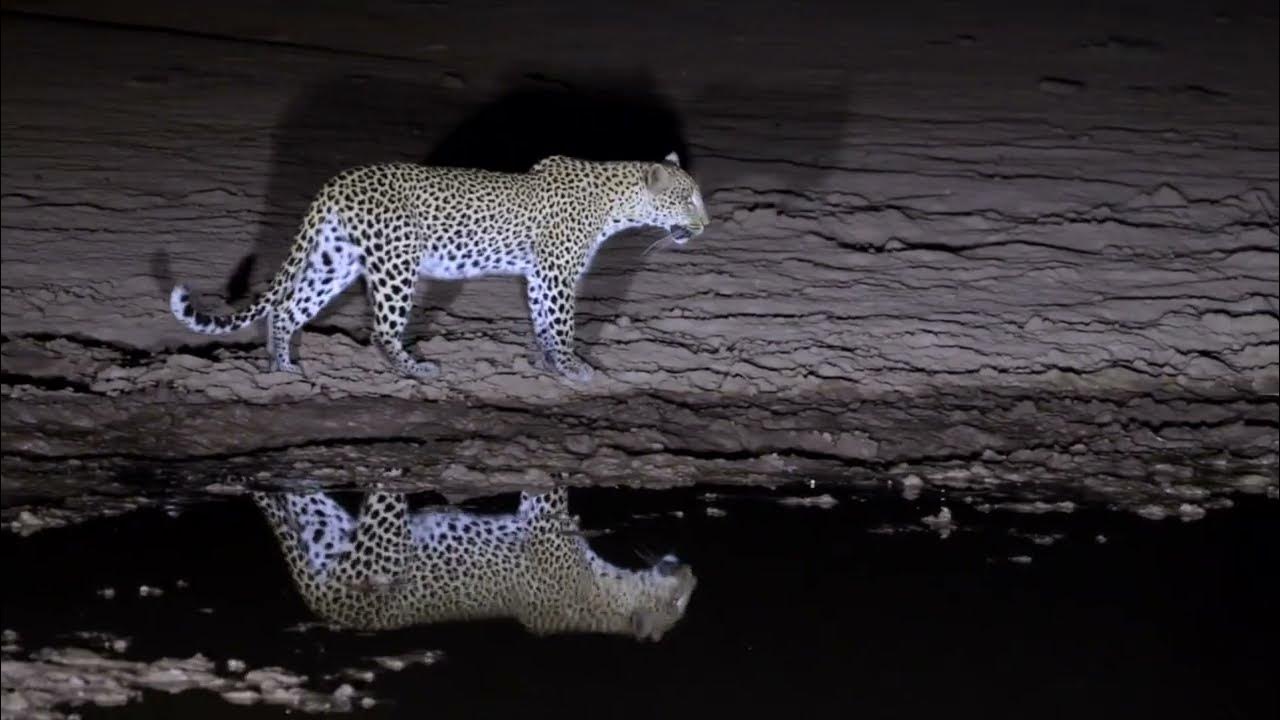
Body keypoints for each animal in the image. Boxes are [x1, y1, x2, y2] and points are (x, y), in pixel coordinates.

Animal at [170, 152, 710, 382]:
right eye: (687, 199)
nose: (706, 224)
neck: (619, 201)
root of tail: (340, 179)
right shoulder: (557, 272)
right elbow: (561, 323)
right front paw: (572, 366)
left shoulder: (539, 274)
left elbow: (542, 320)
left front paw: (549, 364)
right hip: (396, 264)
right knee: (383, 330)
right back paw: (416, 369)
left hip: (334, 261)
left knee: (286, 310)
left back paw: (282, 370)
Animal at [252, 485, 697, 641]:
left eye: (679, 606)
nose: (692, 572)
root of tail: (323, 601)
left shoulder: (544, 530)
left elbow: (547, 495)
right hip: (329, 530)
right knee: (299, 496)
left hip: (378, 547)